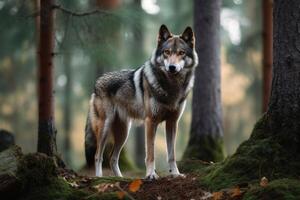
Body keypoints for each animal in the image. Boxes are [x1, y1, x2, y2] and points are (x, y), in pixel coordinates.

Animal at [84, 24, 198, 179]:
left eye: (181, 53)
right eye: (167, 52)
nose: (172, 67)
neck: (171, 87)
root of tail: (97, 82)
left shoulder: (172, 123)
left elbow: (172, 155)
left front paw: (176, 174)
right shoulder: (150, 121)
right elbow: (150, 153)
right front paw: (150, 175)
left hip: (124, 133)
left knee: (113, 158)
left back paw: (120, 178)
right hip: (105, 126)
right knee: (98, 155)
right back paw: (100, 178)